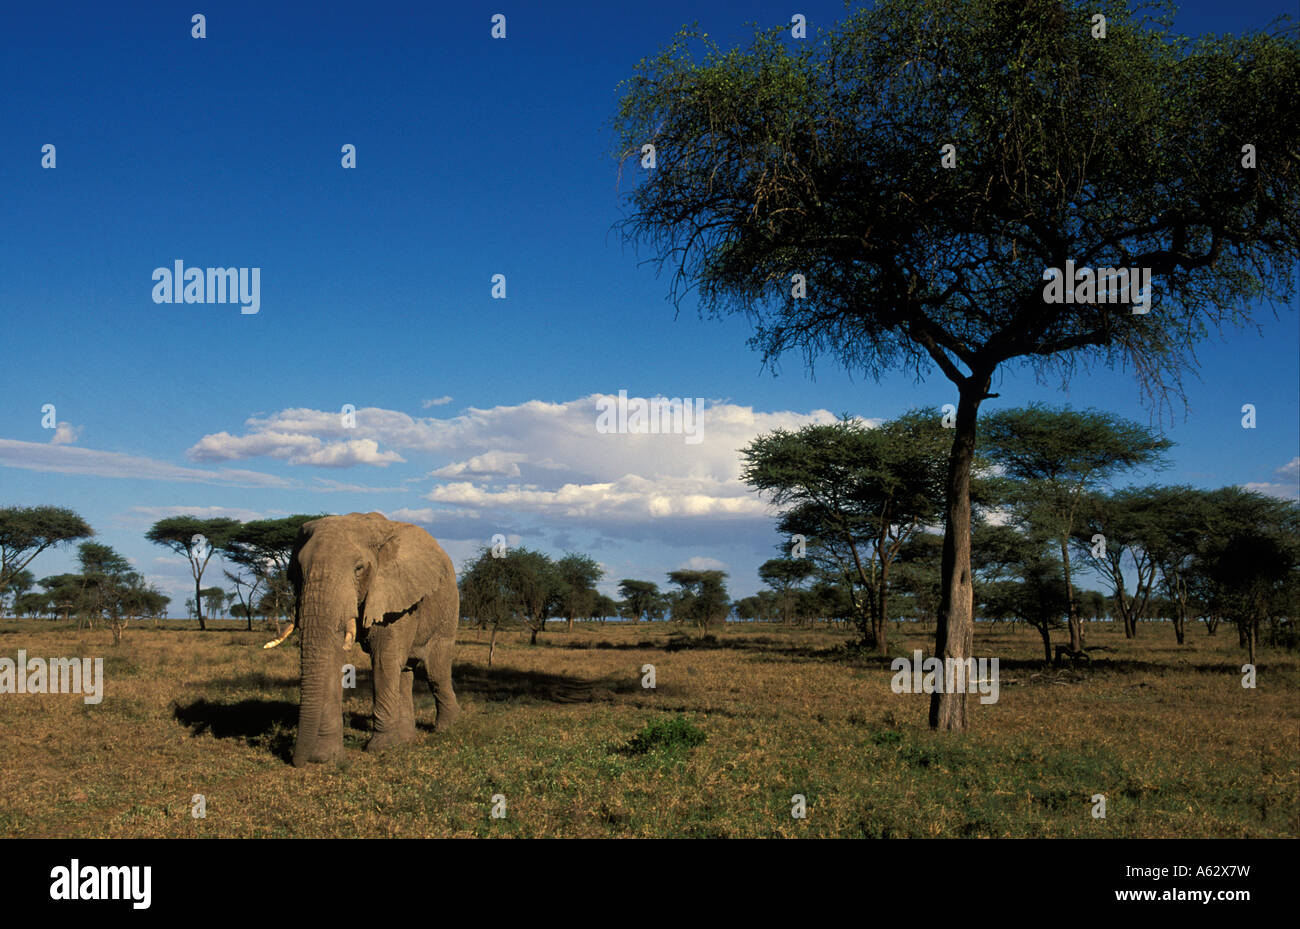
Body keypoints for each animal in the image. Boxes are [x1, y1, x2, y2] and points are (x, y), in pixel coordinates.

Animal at [287, 512, 460, 766]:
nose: (297, 761)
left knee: (435, 671)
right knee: (405, 672)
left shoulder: (394, 596)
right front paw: (326, 757)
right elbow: (331, 658)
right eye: (298, 570)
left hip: (448, 608)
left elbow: (383, 660)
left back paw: (446, 730)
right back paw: (406, 739)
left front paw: (381, 748)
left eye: (359, 568)